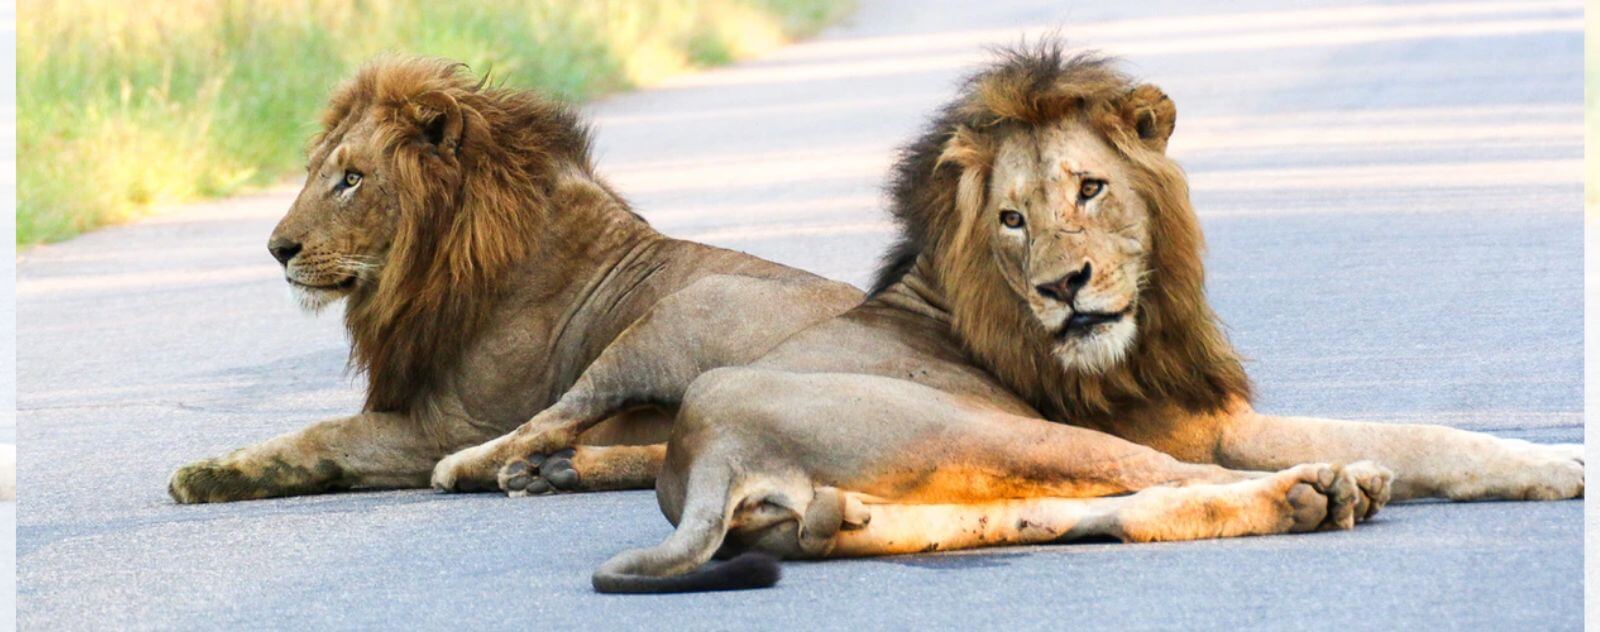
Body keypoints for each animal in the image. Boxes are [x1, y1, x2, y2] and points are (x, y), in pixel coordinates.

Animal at [164, 58, 864, 505]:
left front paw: (206, 474)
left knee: (553, 422)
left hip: (677, 317)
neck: (428, 267)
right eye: (315, 172)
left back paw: (486, 470)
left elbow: (322, 434)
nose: (277, 250)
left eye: (352, 179)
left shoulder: (451, 422)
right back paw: (555, 473)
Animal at [582, 45, 1580, 595]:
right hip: (993, 427)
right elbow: (1416, 433)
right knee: (1170, 482)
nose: (1065, 287)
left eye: (1090, 189)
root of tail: (703, 452)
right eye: (1011, 219)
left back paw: (1304, 501)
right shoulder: (1188, 425)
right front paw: (1557, 464)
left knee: (1107, 517)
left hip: (948, 499)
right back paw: (1331, 488)